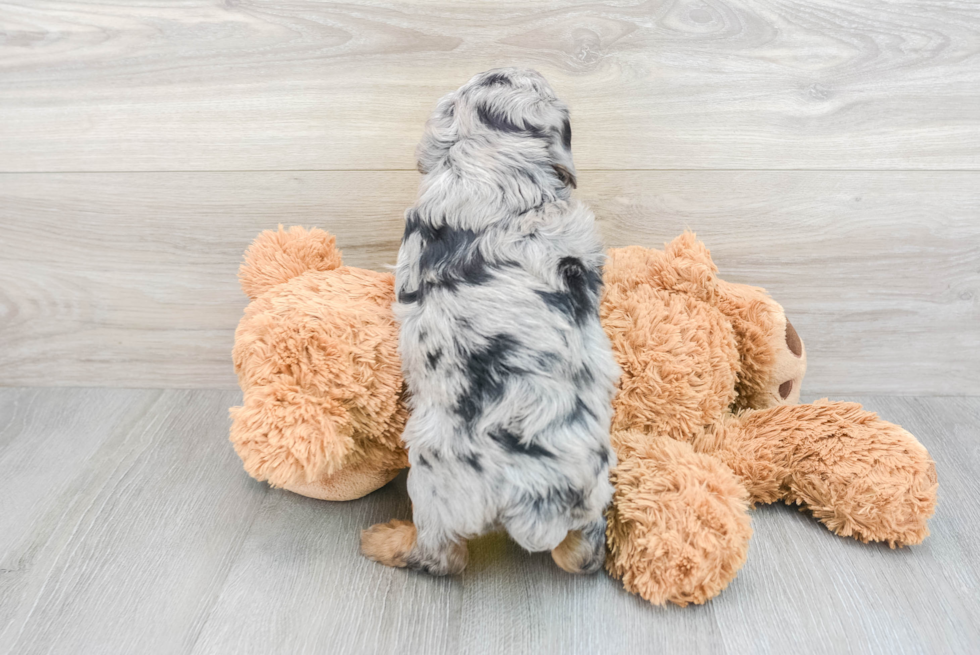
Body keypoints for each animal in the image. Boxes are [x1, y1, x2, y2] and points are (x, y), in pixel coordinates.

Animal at [360, 69, 620, 576]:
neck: (495, 170)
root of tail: (538, 499)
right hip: (595, 492)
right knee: (580, 555)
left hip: (431, 478)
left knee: (441, 556)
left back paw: (384, 540)